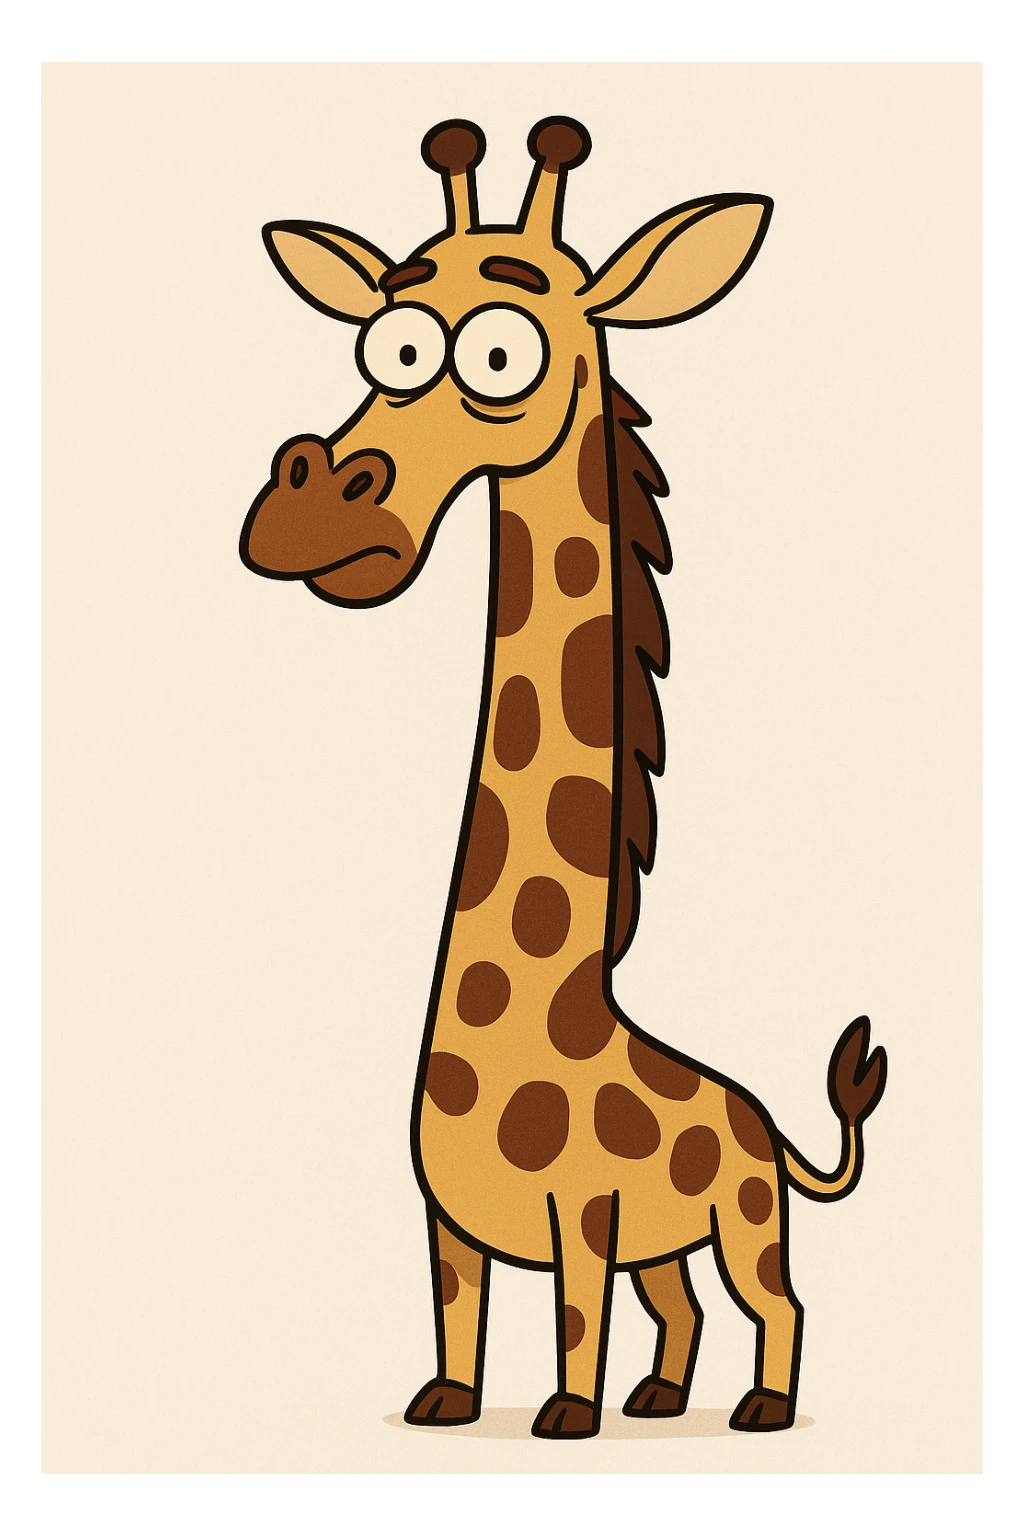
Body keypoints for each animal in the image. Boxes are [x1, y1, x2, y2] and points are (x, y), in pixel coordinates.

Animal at [240, 117, 887, 1440]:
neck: (558, 1009)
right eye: (386, 341)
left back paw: (757, 1409)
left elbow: (571, 1318)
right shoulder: (446, 1223)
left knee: (776, 1304)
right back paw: (661, 1399)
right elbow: (458, 1316)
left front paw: (565, 1417)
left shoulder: (583, 1220)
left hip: (743, 1218)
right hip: (675, 1241)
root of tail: (763, 1119)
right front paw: (445, 1404)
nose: (308, 514)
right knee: (681, 1313)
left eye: (500, 355)